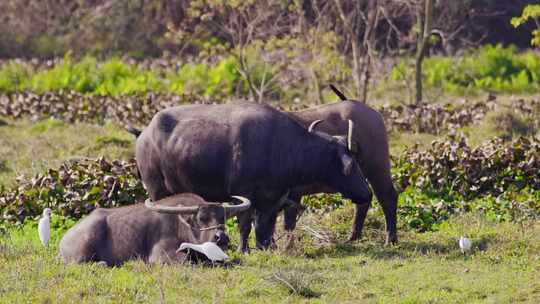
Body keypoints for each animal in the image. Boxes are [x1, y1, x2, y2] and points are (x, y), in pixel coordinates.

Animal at [130, 102, 372, 252]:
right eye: (351, 165)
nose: (367, 193)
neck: (282, 148)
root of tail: (143, 135)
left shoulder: (273, 201)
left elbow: (266, 227)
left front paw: (268, 247)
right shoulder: (244, 196)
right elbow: (246, 225)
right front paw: (244, 249)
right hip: (157, 189)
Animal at [284, 85, 398, 245]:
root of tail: (372, 112)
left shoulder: (292, 194)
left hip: (377, 167)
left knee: (388, 197)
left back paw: (390, 240)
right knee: (364, 201)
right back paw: (353, 237)